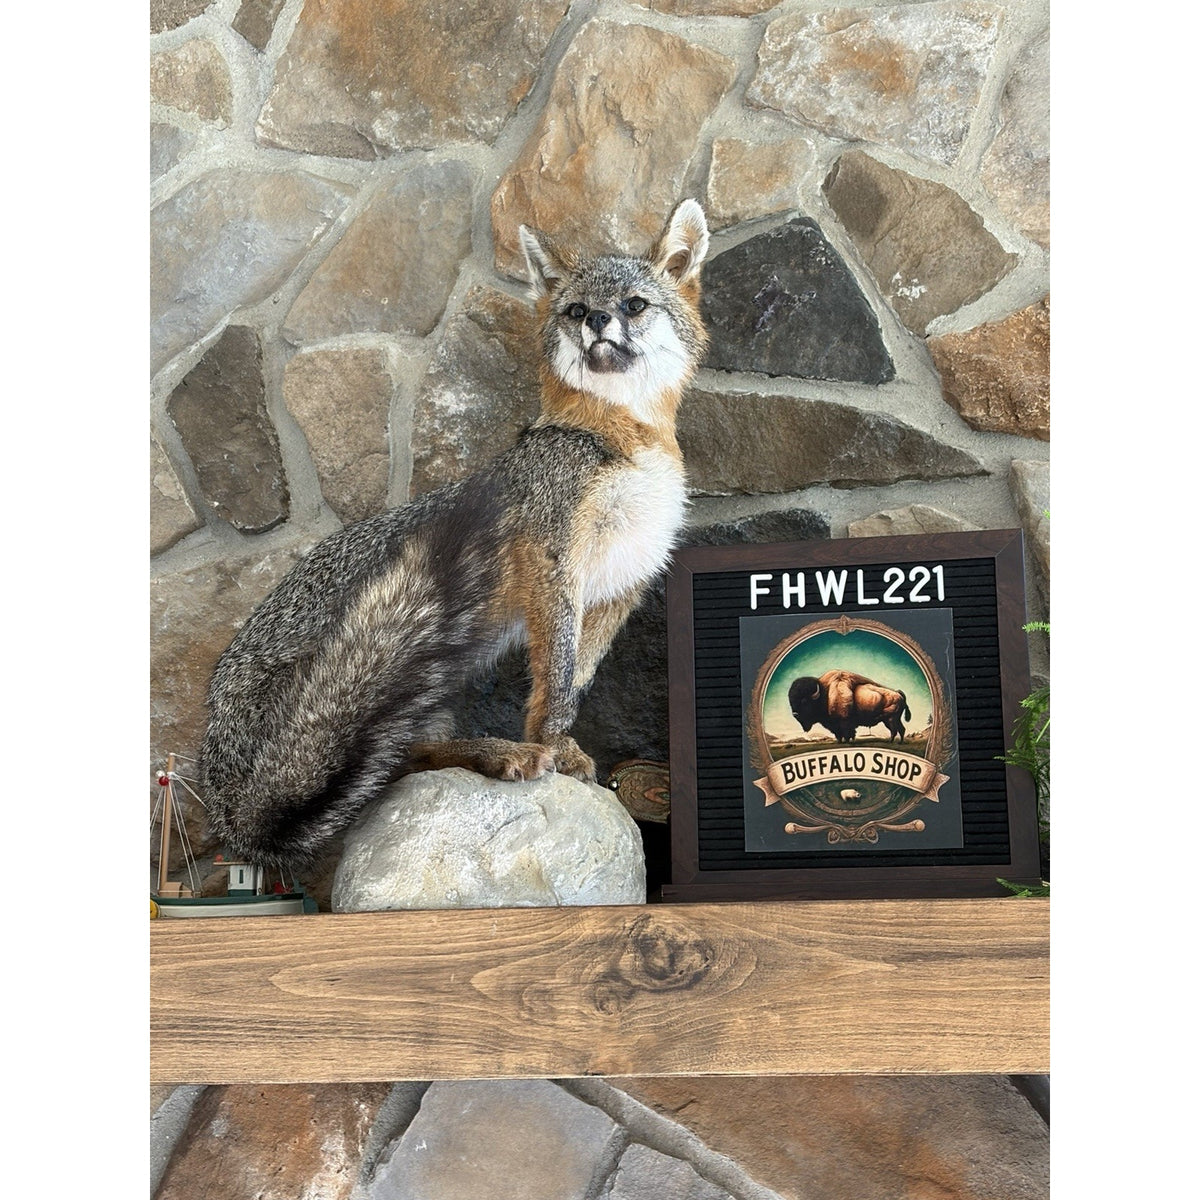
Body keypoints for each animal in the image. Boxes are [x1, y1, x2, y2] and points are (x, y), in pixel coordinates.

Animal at [201, 199, 711, 870]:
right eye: (577, 310)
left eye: (633, 304)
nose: (599, 320)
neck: (624, 444)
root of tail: (228, 804)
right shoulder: (551, 557)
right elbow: (555, 679)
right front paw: (553, 747)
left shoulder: (618, 586)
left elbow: (575, 677)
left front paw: (560, 745)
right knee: (398, 766)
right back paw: (500, 753)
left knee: (396, 766)